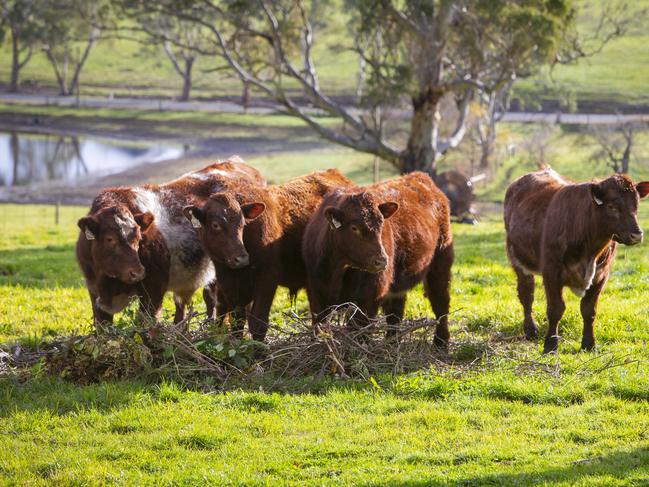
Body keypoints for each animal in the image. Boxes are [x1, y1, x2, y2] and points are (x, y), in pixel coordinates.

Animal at [77, 156, 264, 332]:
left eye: (138, 236)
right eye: (110, 239)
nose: (137, 272)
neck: (107, 280)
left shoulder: (153, 288)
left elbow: (147, 322)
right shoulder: (94, 292)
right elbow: (102, 328)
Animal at [182, 170, 354, 342]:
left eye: (242, 224)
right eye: (215, 225)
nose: (241, 258)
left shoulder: (267, 277)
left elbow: (258, 323)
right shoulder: (230, 285)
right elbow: (237, 321)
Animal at [302, 172, 454, 346]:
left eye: (382, 224)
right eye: (354, 228)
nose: (381, 260)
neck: (339, 268)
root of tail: (421, 178)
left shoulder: (370, 296)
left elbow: (359, 330)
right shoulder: (317, 293)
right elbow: (319, 326)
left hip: (440, 265)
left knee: (440, 303)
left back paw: (441, 343)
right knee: (395, 312)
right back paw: (392, 343)